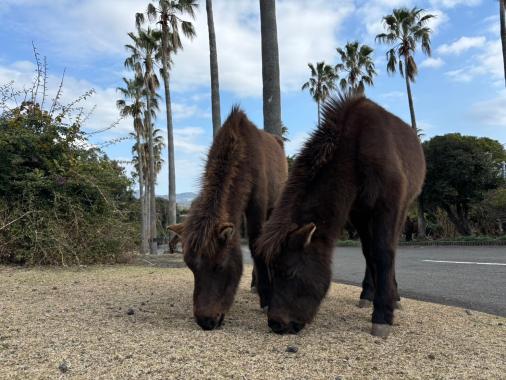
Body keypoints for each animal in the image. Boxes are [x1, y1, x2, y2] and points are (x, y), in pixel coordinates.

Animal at [168, 106, 286, 330]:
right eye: (190, 267)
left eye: (219, 266)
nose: (205, 320)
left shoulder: (257, 206)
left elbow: (256, 246)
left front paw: (267, 298)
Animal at [255, 92, 424, 336]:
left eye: (288, 272)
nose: (276, 324)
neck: (356, 147)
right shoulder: (358, 213)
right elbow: (371, 253)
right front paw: (375, 297)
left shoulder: (390, 205)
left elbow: (384, 253)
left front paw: (383, 313)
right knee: (369, 251)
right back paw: (369, 293)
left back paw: (393, 296)